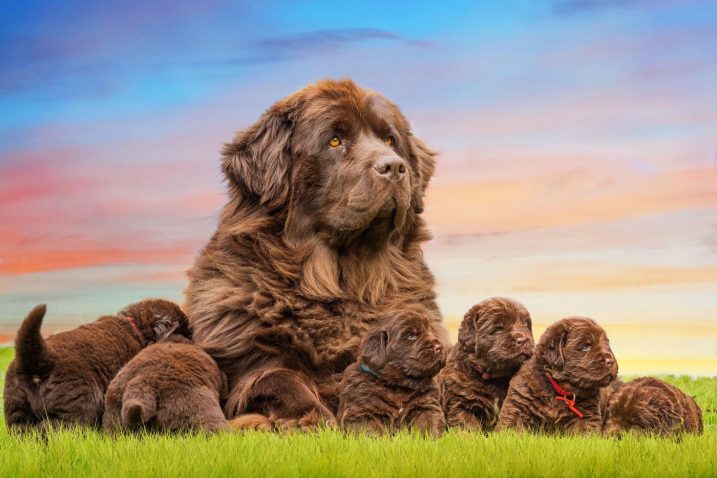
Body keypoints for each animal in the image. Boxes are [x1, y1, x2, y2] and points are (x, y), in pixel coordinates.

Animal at [183, 79, 442, 430]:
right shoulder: (246, 358)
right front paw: (311, 417)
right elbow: (278, 377)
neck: (341, 283)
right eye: (334, 140)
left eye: (391, 140)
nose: (394, 167)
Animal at [436, 296, 532, 432]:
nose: (523, 340)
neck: (494, 378)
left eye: (526, 325)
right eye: (498, 329)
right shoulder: (462, 402)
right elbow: (468, 426)